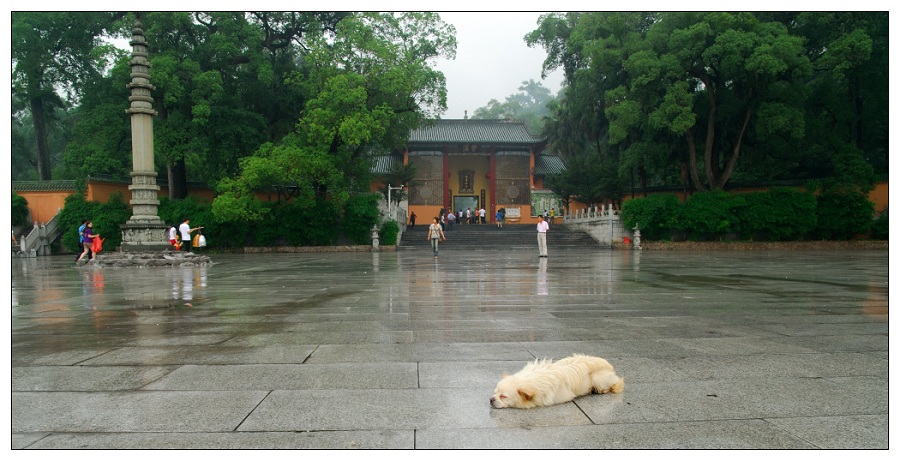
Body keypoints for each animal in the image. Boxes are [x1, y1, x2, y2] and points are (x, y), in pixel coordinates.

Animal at [488, 354, 624, 408]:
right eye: (494, 393)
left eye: (503, 396)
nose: (491, 399)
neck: (532, 378)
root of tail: (610, 365)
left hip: (598, 379)